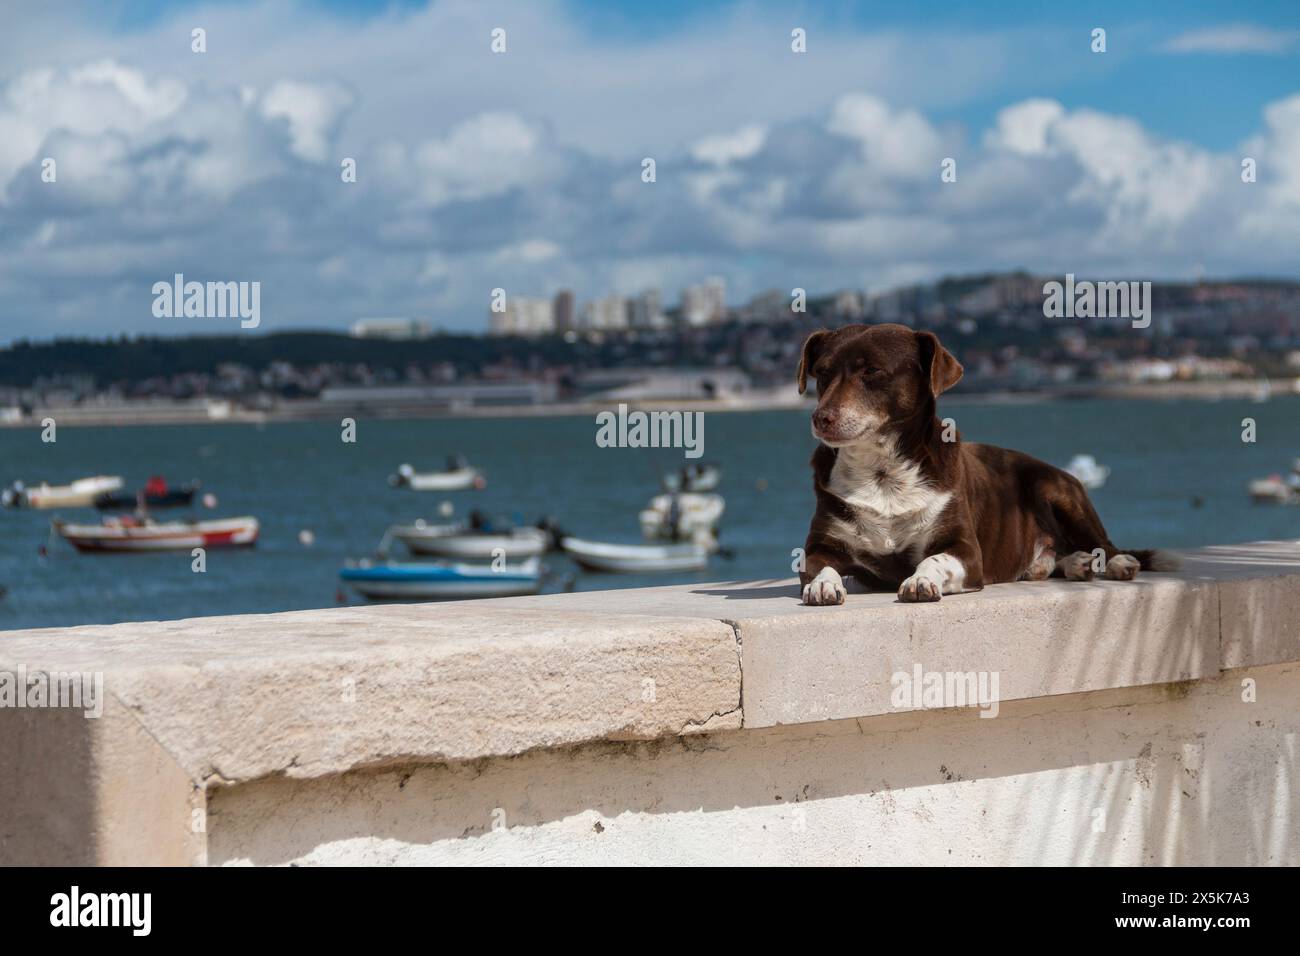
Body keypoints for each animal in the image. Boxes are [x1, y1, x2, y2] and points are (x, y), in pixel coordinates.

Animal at [795, 323, 1175, 606]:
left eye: (872, 371)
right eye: (822, 373)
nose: (821, 418)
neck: (882, 471)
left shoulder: (965, 551)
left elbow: (933, 558)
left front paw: (919, 580)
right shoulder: (818, 548)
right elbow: (818, 565)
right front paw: (822, 584)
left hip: (1057, 489)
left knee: (1104, 543)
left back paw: (1115, 562)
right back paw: (1076, 563)